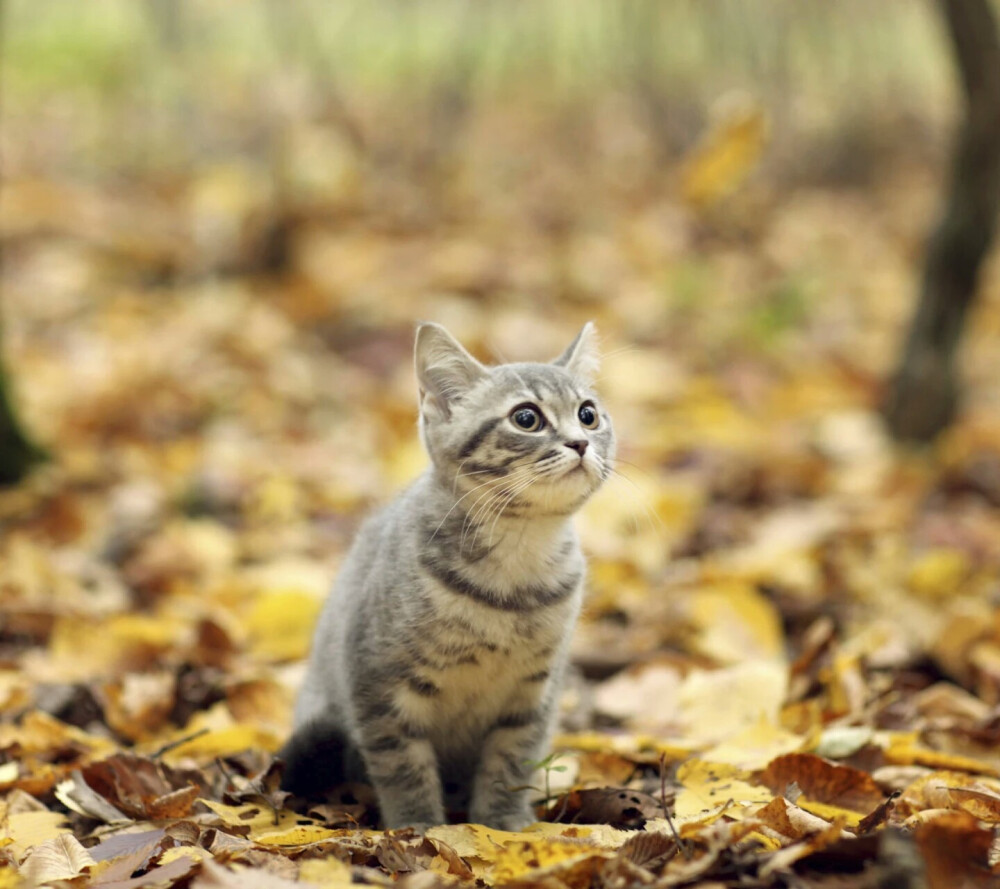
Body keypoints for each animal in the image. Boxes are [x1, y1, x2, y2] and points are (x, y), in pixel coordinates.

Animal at [278, 322, 612, 828]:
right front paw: (420, 829)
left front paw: (503, 826)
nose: (581, 442)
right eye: (527, 418)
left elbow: (511, 763)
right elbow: (403, 766)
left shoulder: (533, 697)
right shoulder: (379, 688)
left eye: (588, 414)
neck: (515, 568)